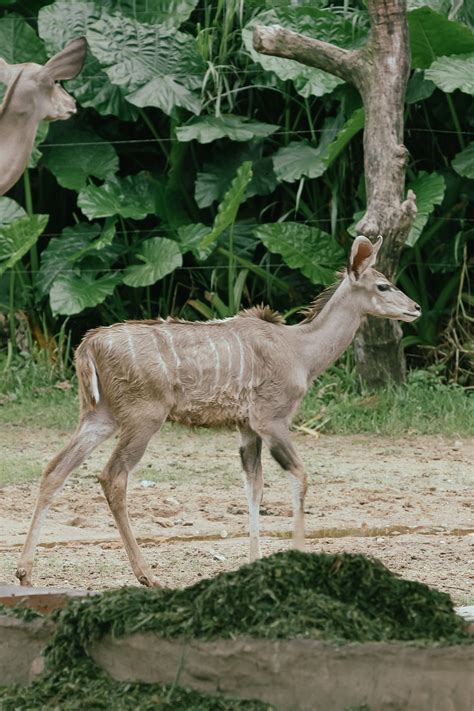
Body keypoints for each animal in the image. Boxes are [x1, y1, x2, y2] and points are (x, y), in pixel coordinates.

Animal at [15, 236, 422, 588]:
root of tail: (88, 346)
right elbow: (300, 477)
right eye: (383, 285)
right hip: (143, 417)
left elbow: (254, 487)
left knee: (55, 469)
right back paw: (148, 576)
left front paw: (255, 561)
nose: (415, 308)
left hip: (99, 417)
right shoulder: (271, 419)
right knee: (112, 477)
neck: (301, 351)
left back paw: (25, 572)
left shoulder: (246, 427)